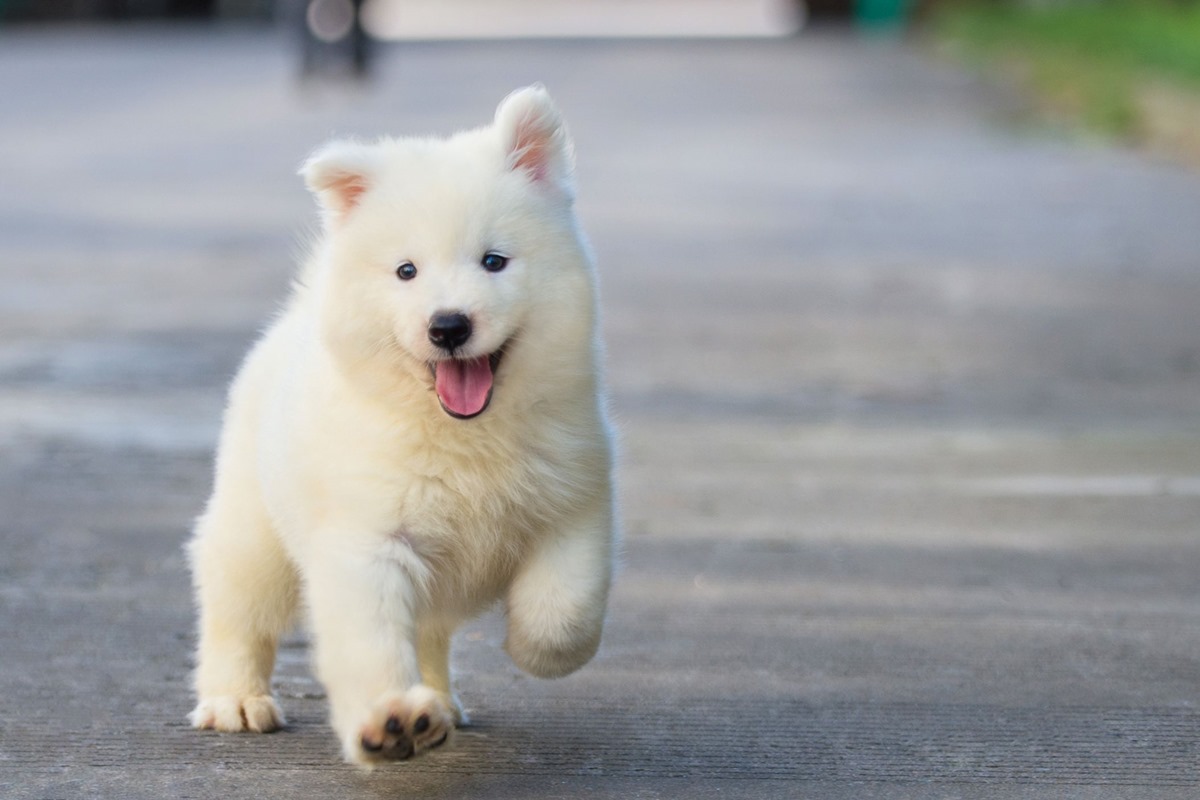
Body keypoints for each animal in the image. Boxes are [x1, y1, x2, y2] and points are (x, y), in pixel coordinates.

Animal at [192, 84, 619, 767]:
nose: (448, 326)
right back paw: (234, 700)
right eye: (406, 271)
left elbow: (565, 609)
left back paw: (439, 706)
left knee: (430, 633)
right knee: (236, 610)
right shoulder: (368, 540)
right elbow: (370, 641)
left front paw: (531, 649)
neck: (463, 435)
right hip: (254, 530)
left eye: (493, 261)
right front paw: (387, 719)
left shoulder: (574, 504)